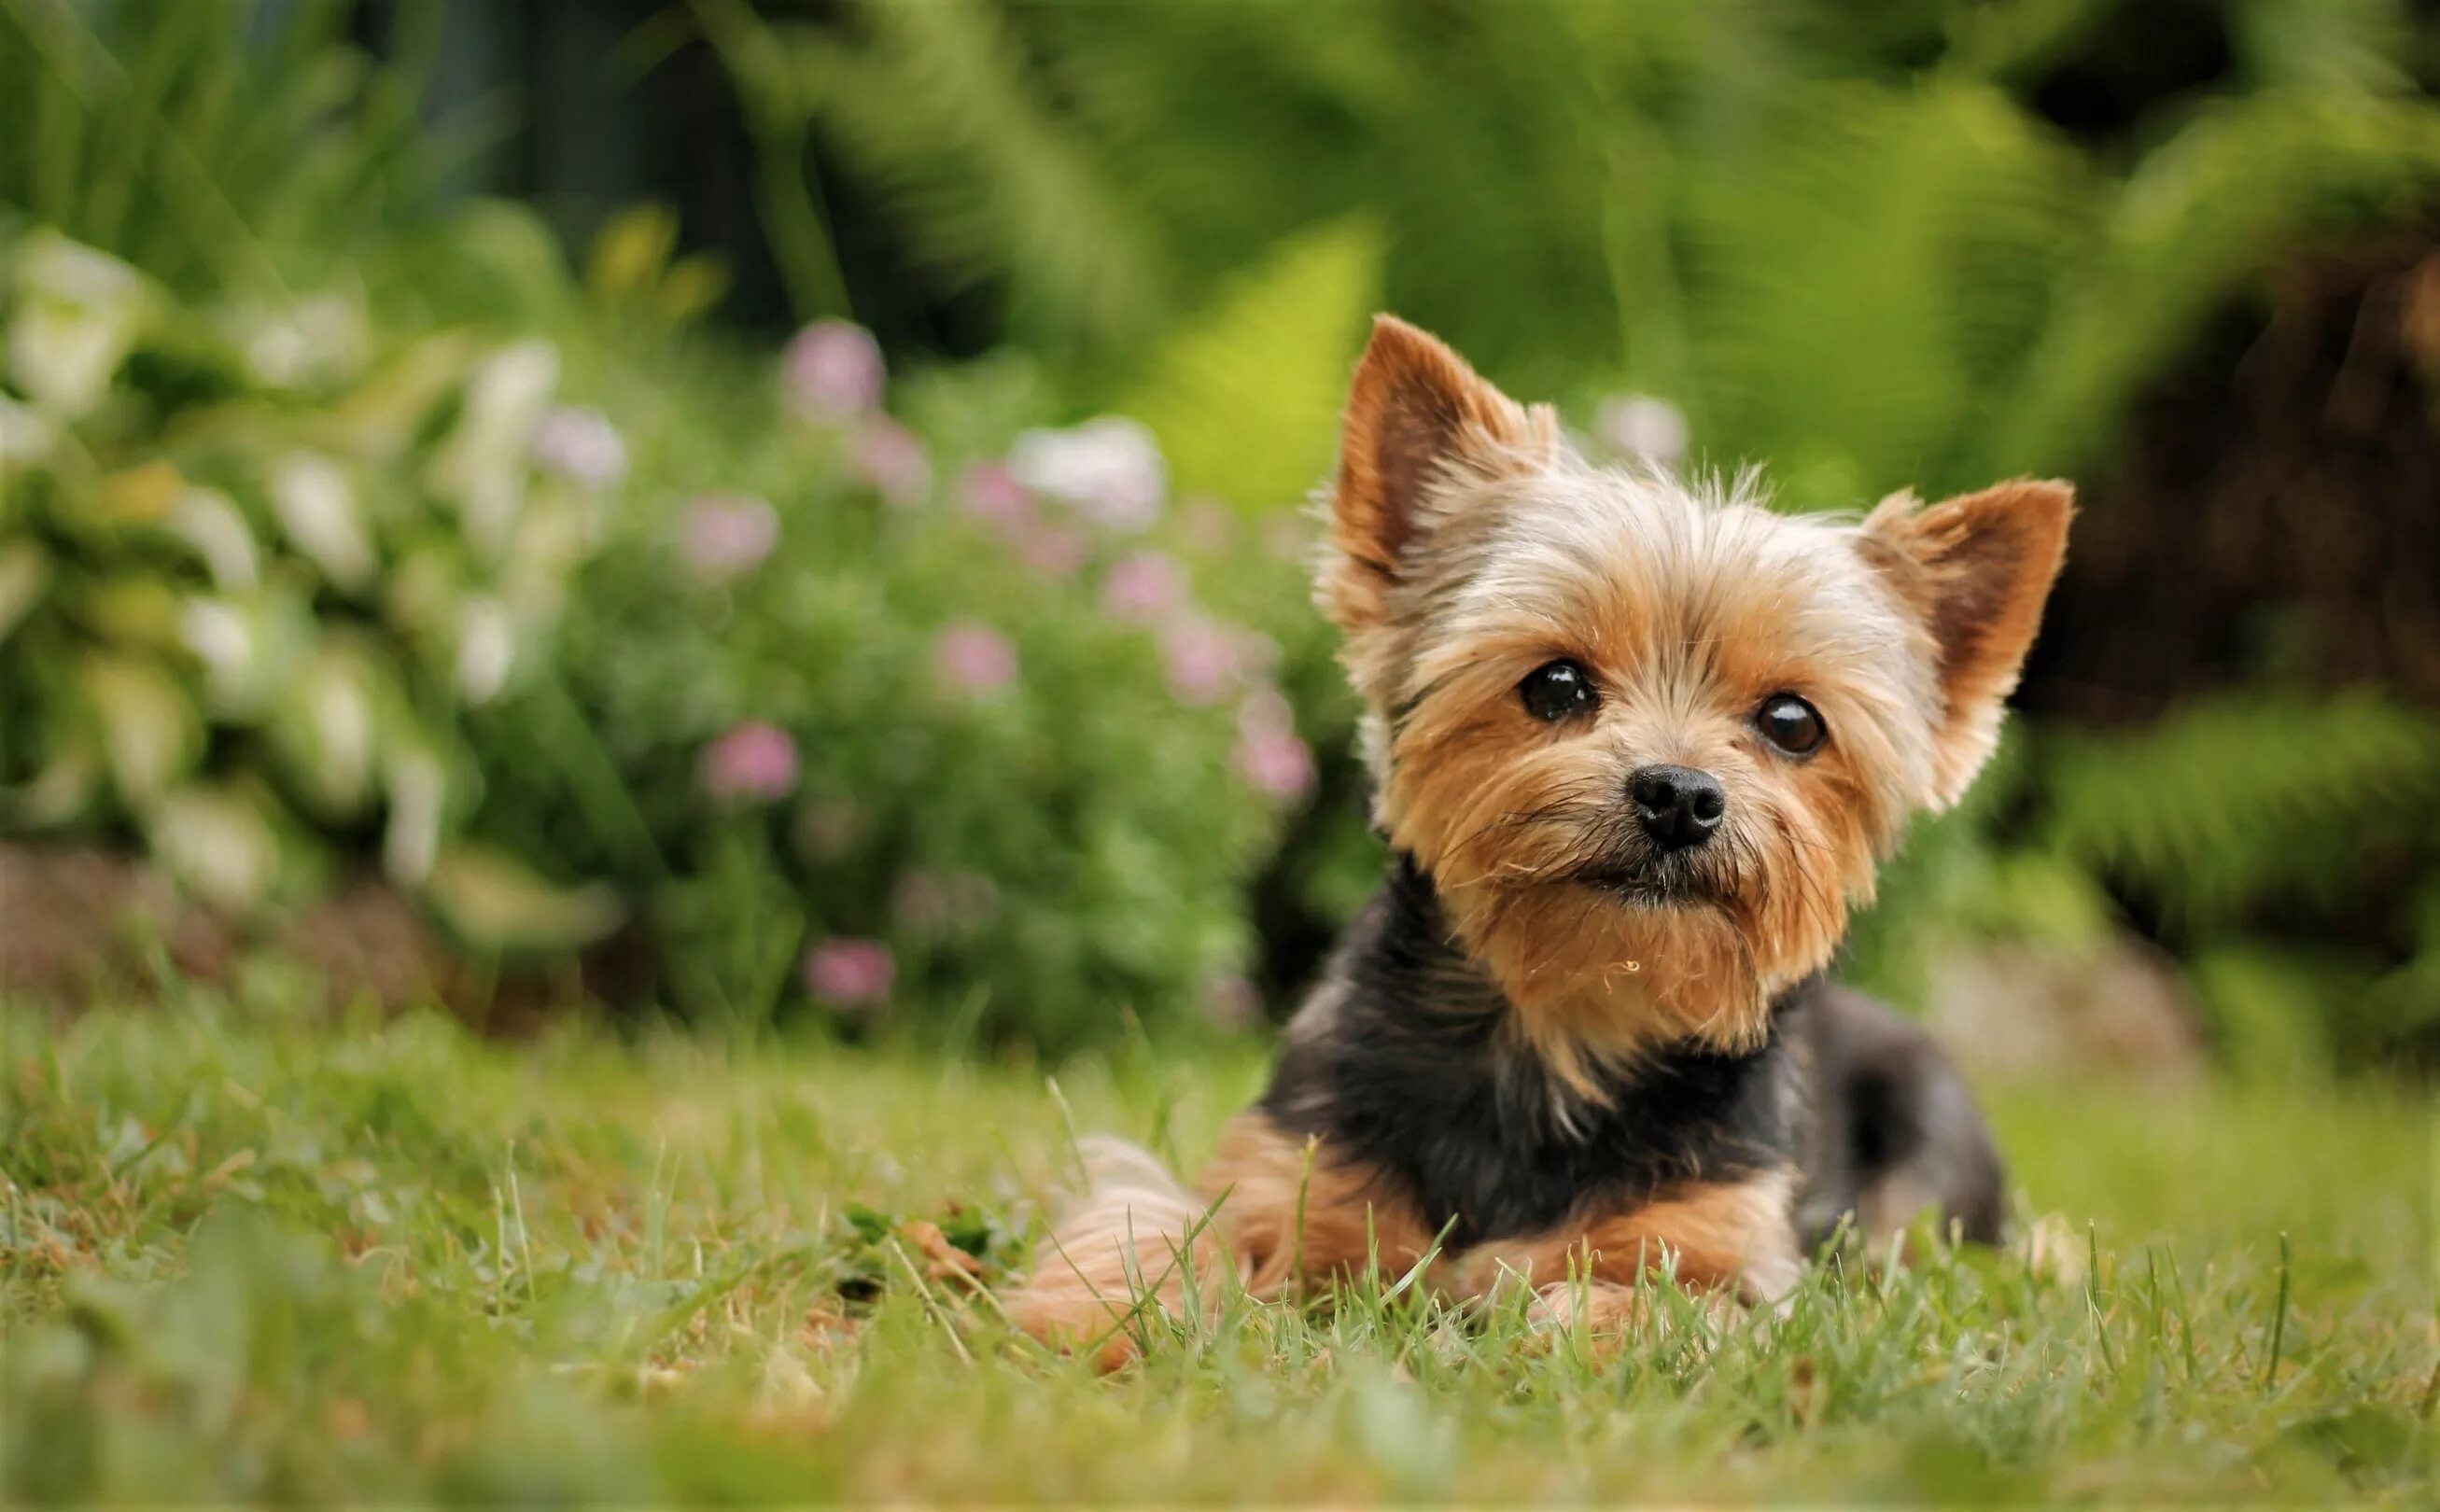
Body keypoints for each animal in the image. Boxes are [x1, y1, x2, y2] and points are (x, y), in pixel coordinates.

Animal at [1000, 319, 2068, 1355]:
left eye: (1792, 722)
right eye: (1555, 684)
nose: (1679, 795)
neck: (1566, 1024)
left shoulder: (1732, 1247)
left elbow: (1673, 1301)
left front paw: (1564, 1315)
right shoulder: (1290, 1167)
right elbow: (1162, 1222)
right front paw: (1095, 1314)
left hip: (1927, 1136)